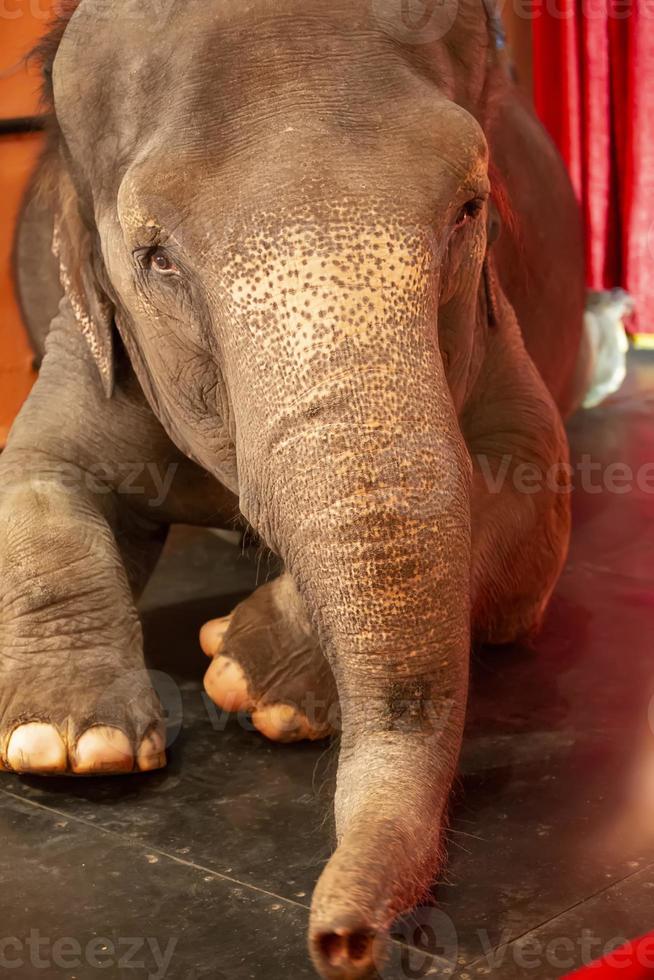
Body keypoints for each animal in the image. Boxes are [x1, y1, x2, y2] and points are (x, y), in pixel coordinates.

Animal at [2, 0, 592, 976]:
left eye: (470, 207)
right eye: (155, 258)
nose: (345, 940)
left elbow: (531, 486)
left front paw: (249, 676)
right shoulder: (85, 332)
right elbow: (34, 470)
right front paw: (69, 743)